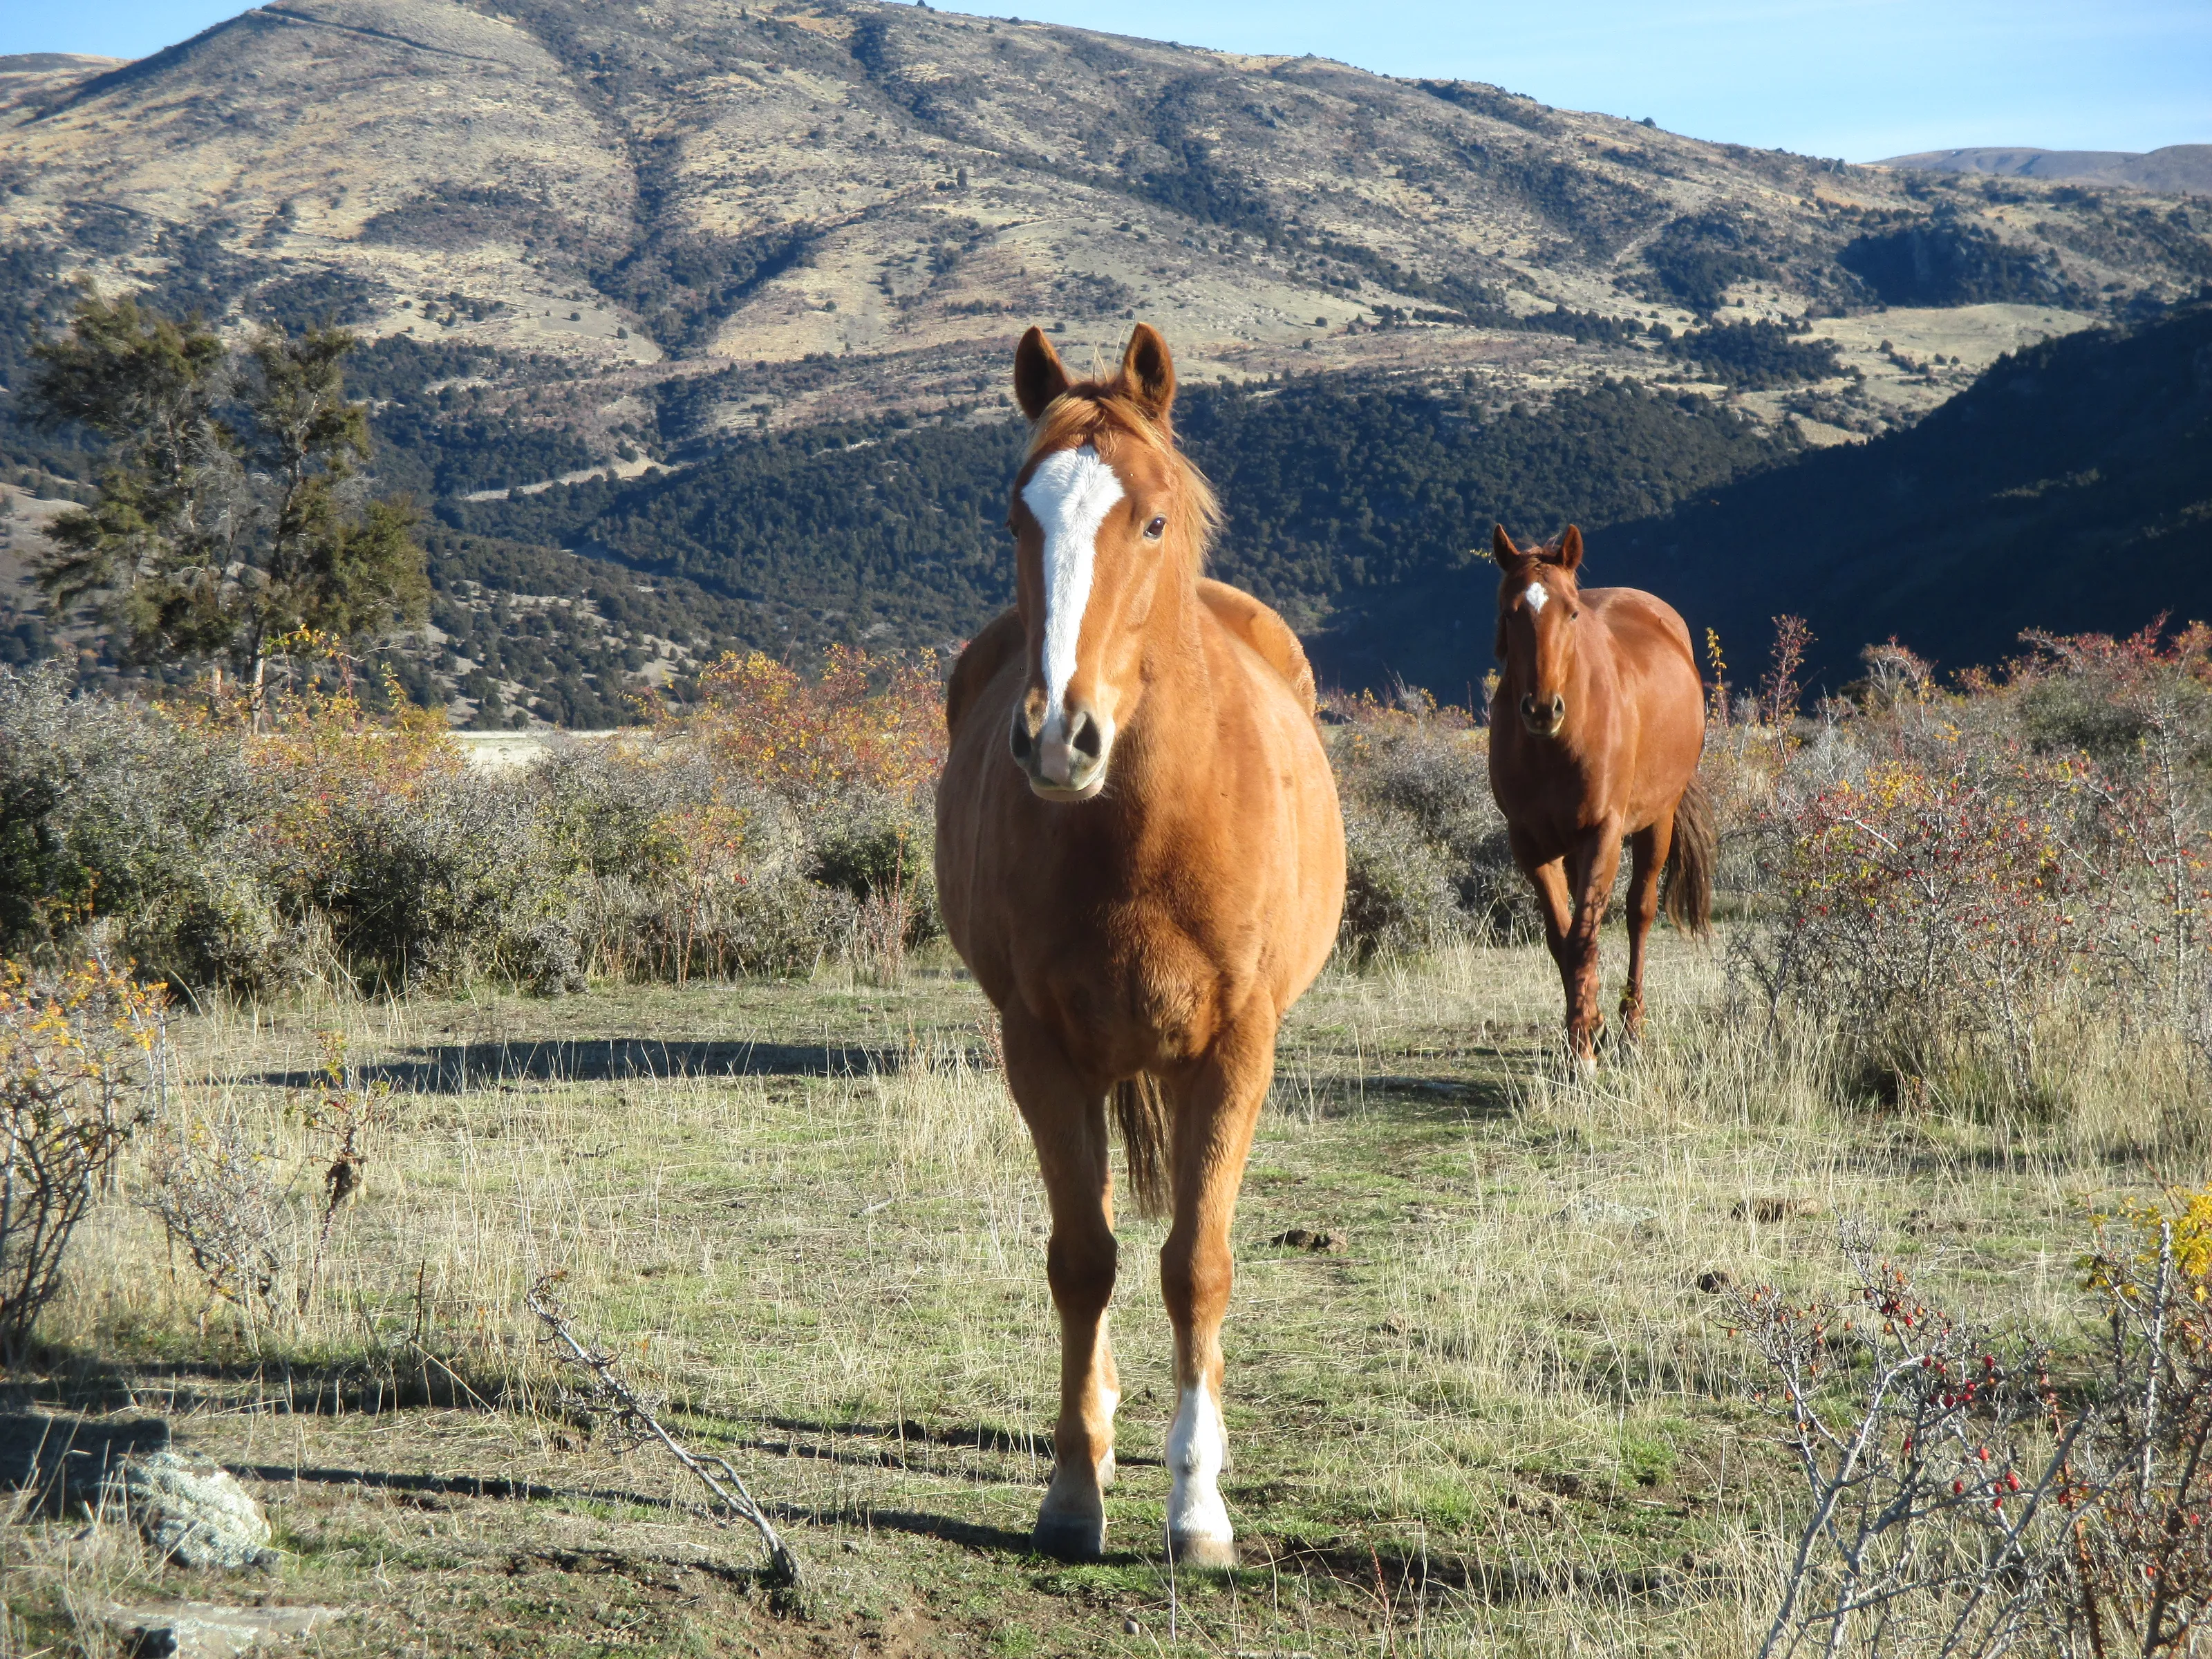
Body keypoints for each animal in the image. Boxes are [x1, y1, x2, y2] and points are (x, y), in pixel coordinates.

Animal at [934, 324, 1346, 1567]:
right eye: (1017, 517)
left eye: (1152, 521)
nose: (1057, 738)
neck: (1144, 831)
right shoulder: (1040, 1049)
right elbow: (1085, 1260)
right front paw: (1076, 1487)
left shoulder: (1237, 1049)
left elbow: (1197, 1267)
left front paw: (1198, 1506)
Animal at [1485, 523, 1714, 1057]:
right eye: (1509, 611)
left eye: (1571, 612)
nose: (1542, 709)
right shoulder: (1530, 844)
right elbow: (1561, 938)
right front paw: (1583, 1034)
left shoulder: (1603, 833)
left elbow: (1584, 938)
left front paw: (1584, 1049)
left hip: (1657, 821)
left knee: (1639, 912)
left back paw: (1632, 1027)